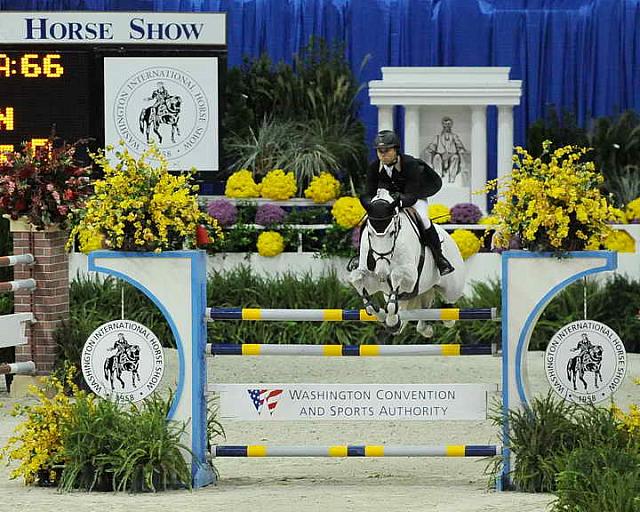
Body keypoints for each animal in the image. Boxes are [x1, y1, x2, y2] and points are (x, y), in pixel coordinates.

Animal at [348, 188, 468, 336]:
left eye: (392, 233)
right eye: (369, 233)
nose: (382, 273)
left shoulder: (410, 277)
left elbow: (396, 275)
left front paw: (391, 320)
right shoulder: (375, 282)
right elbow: (356, 279)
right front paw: (384, 317)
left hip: (452, 288)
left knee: (449, 300)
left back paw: (447, 317)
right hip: (417, 293)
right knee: (421, 308)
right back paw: (419, 327)